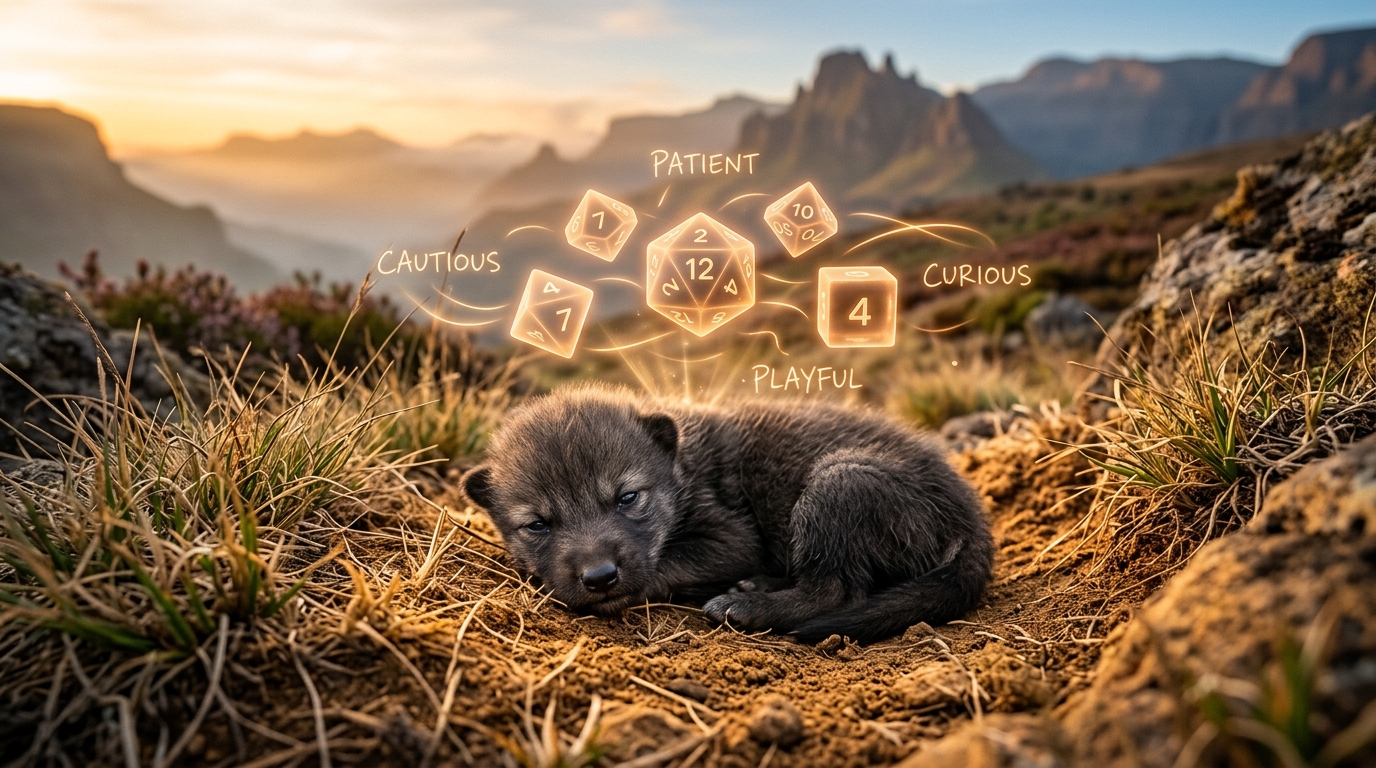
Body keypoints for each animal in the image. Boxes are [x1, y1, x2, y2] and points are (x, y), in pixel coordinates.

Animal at [461, 384, 992, 643]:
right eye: (537, 525)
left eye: (627, 498)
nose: (599, 577)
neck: (682, 467)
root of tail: (971, 520)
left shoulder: (733, 537)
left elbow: (668, 564)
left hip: (838, 481)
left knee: (835, 589)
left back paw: (747, 606)